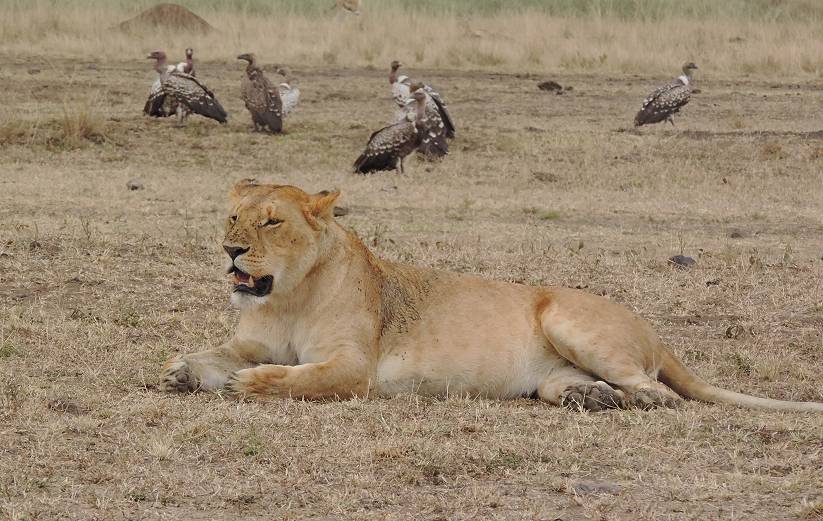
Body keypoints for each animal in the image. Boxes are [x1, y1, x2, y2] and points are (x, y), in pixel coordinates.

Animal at [161, 179, 823, 410]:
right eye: (233, 218)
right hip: (558, 369)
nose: (231, 251)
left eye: (272, 222)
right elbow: (215, 354)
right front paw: (183, 371)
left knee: (660, 391)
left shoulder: (353, 366)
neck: (287, 296)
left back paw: (633, 400)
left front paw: (252, 384)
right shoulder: (250, 339)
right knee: (578, 387)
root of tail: (654, 331)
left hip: (568, 320)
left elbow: (297, 376)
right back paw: (591, 400)